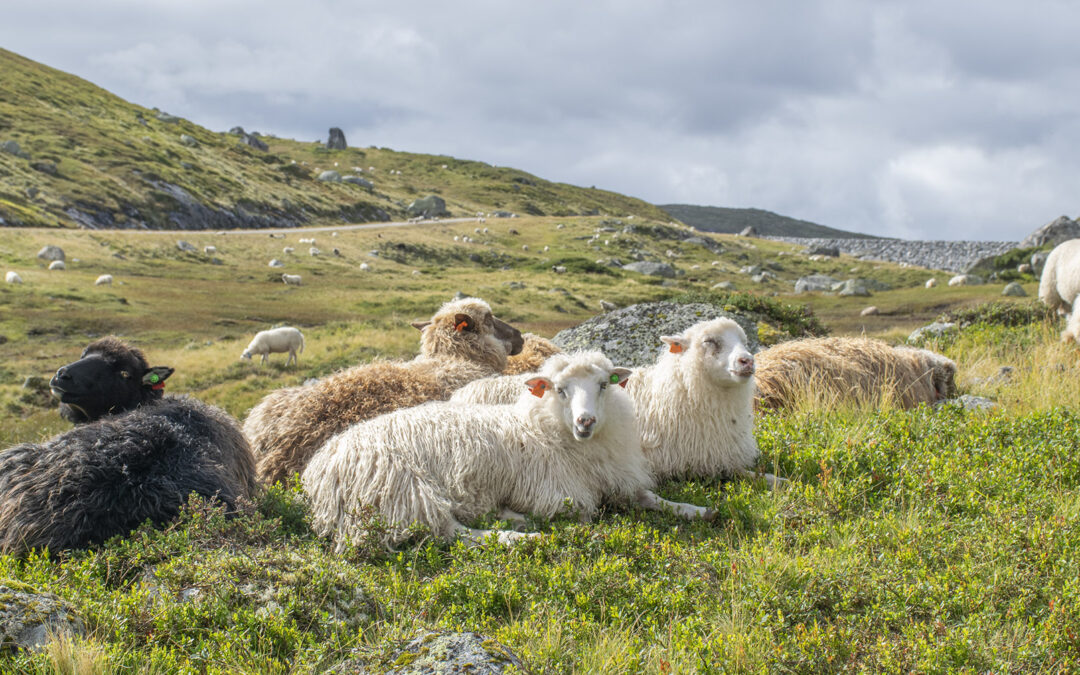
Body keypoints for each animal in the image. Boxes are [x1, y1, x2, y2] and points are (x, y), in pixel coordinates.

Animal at [304, 347, 708, 548]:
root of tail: (323, 467)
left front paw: (696, 509)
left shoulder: (618, 479)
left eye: (604, 385)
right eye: (560, 390)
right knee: (452, 533)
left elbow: (650, 498)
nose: (586, 422)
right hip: (404, 490)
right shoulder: (557, 495)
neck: (545, 428)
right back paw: (517, 535)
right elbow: (586, 514)